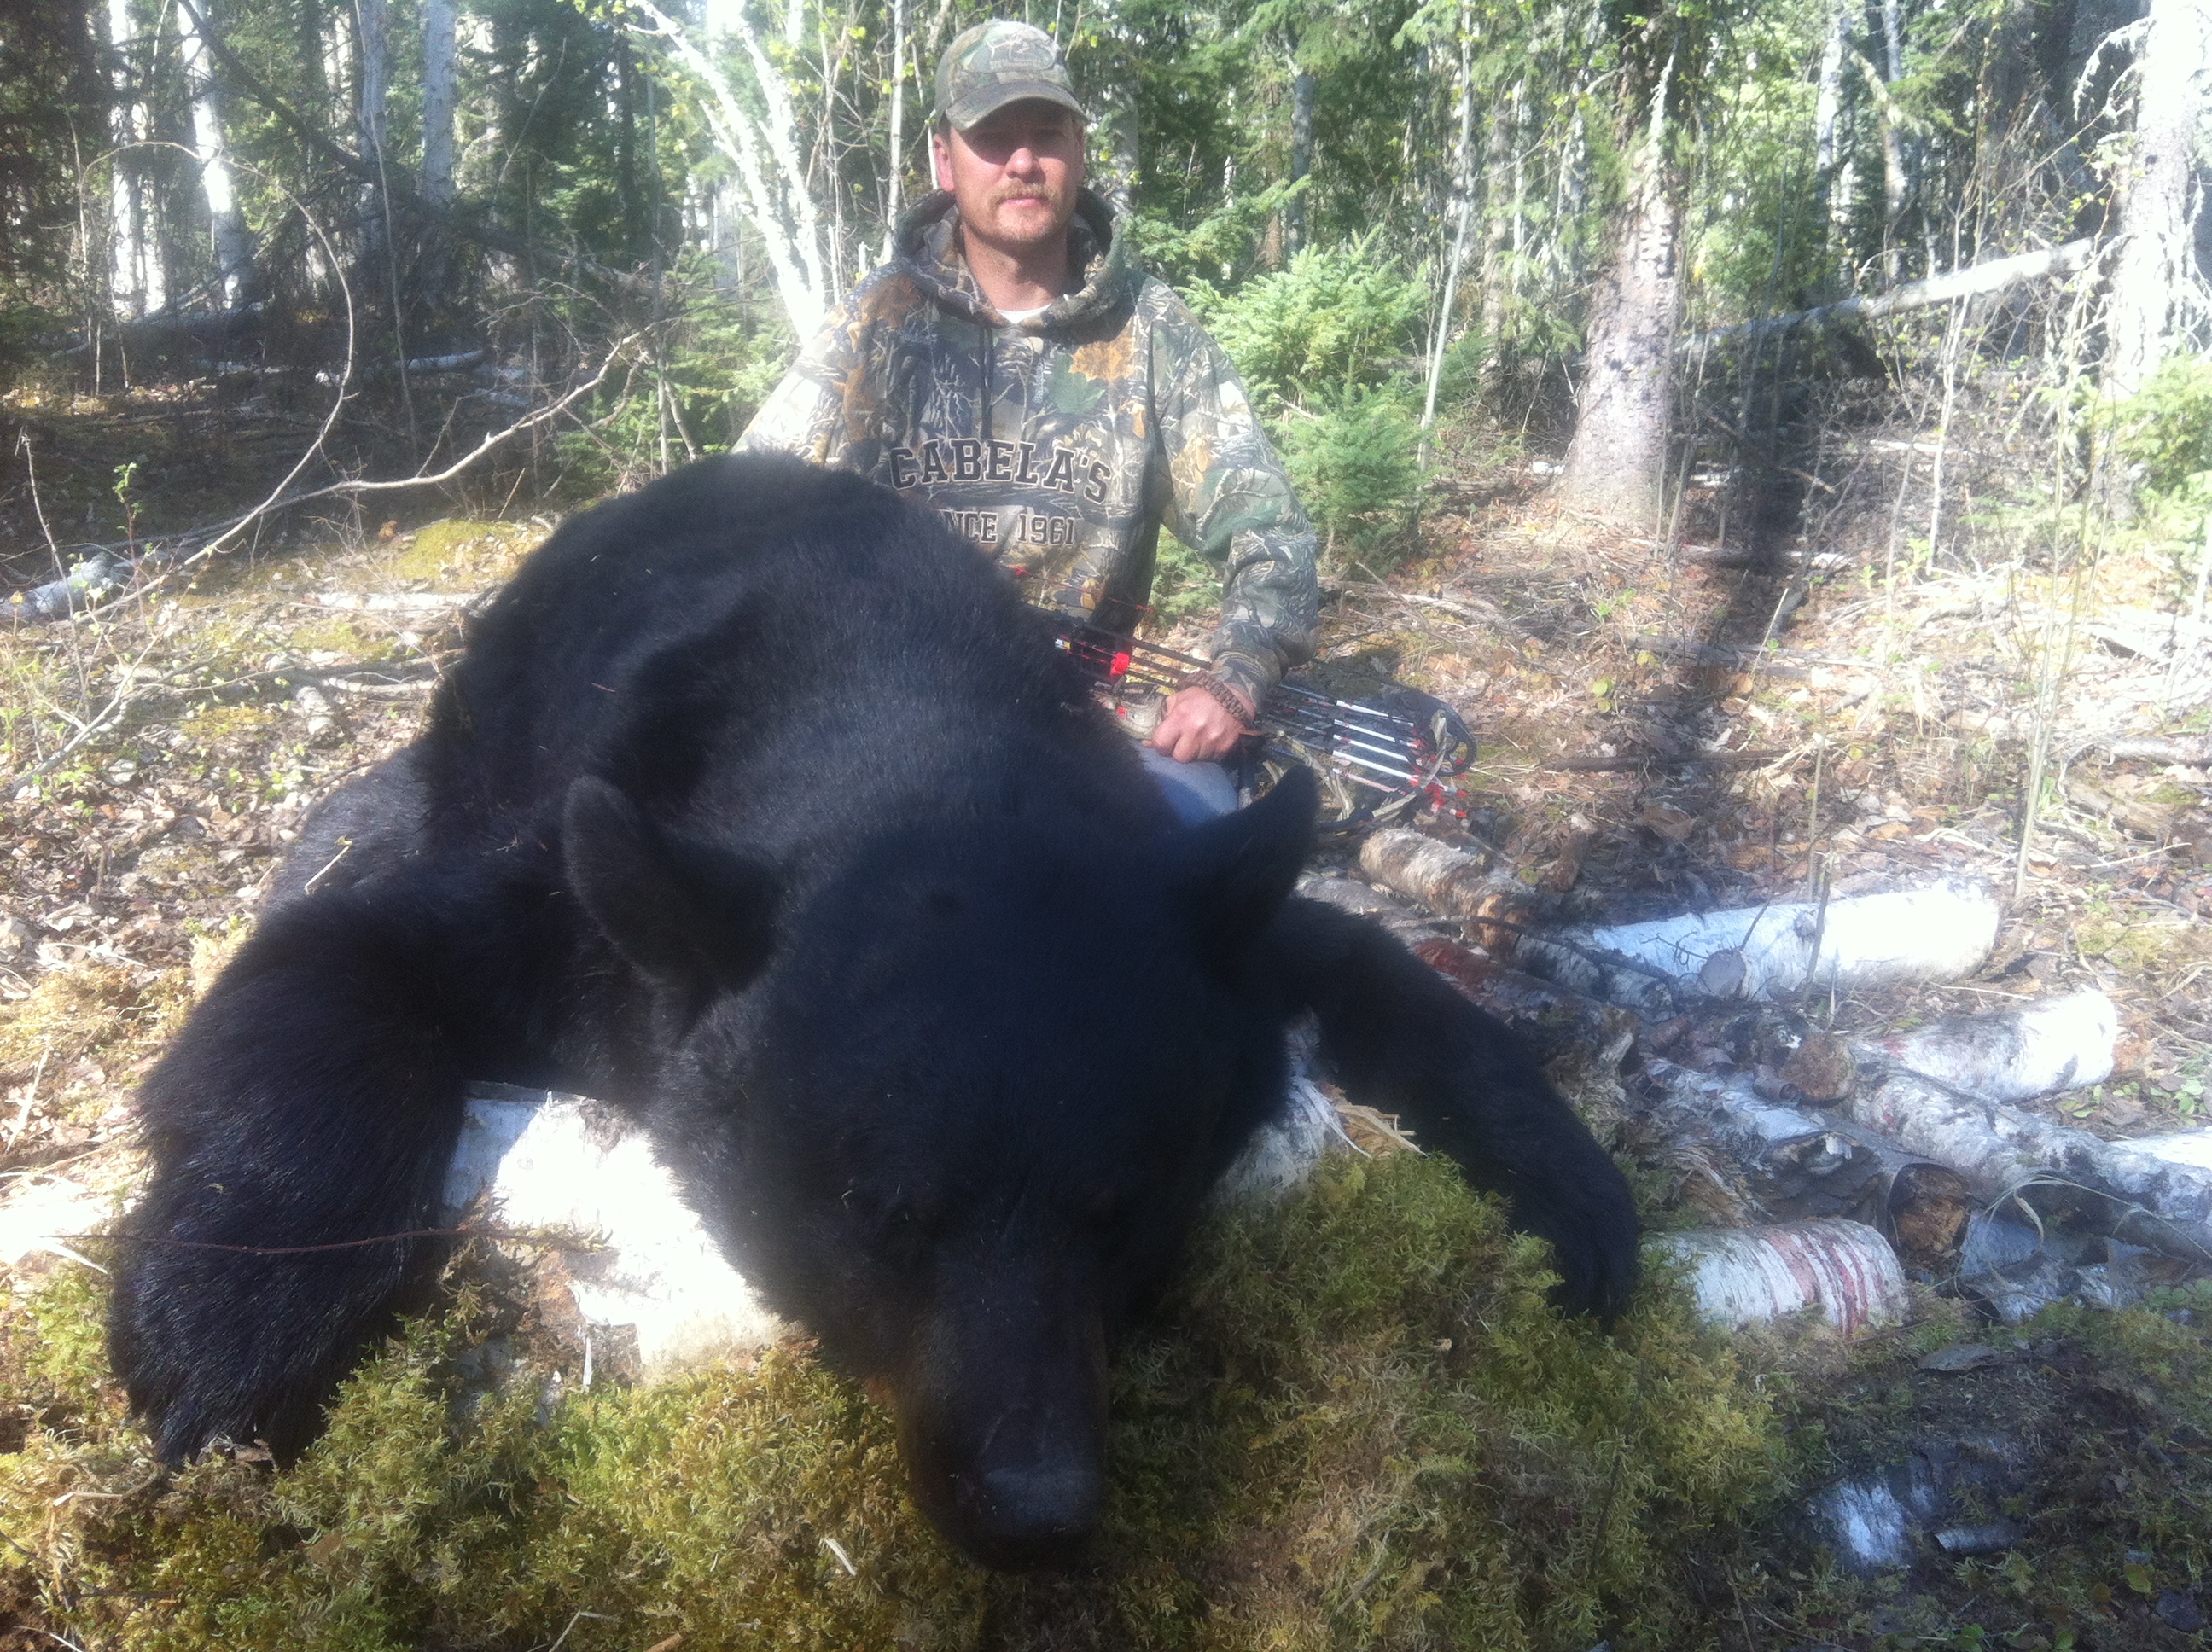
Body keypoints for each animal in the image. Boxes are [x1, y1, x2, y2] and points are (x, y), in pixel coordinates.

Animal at [108, 453, 1638, 1573]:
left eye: (1125, 1200)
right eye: (877, 1207)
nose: (1033, 1504)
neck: (909, 727)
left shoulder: (1185, 900)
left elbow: (1384, 977)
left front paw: (1579, 1202)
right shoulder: (589, 913)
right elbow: (335, 963)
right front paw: (215, 1337)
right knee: (365, 823)